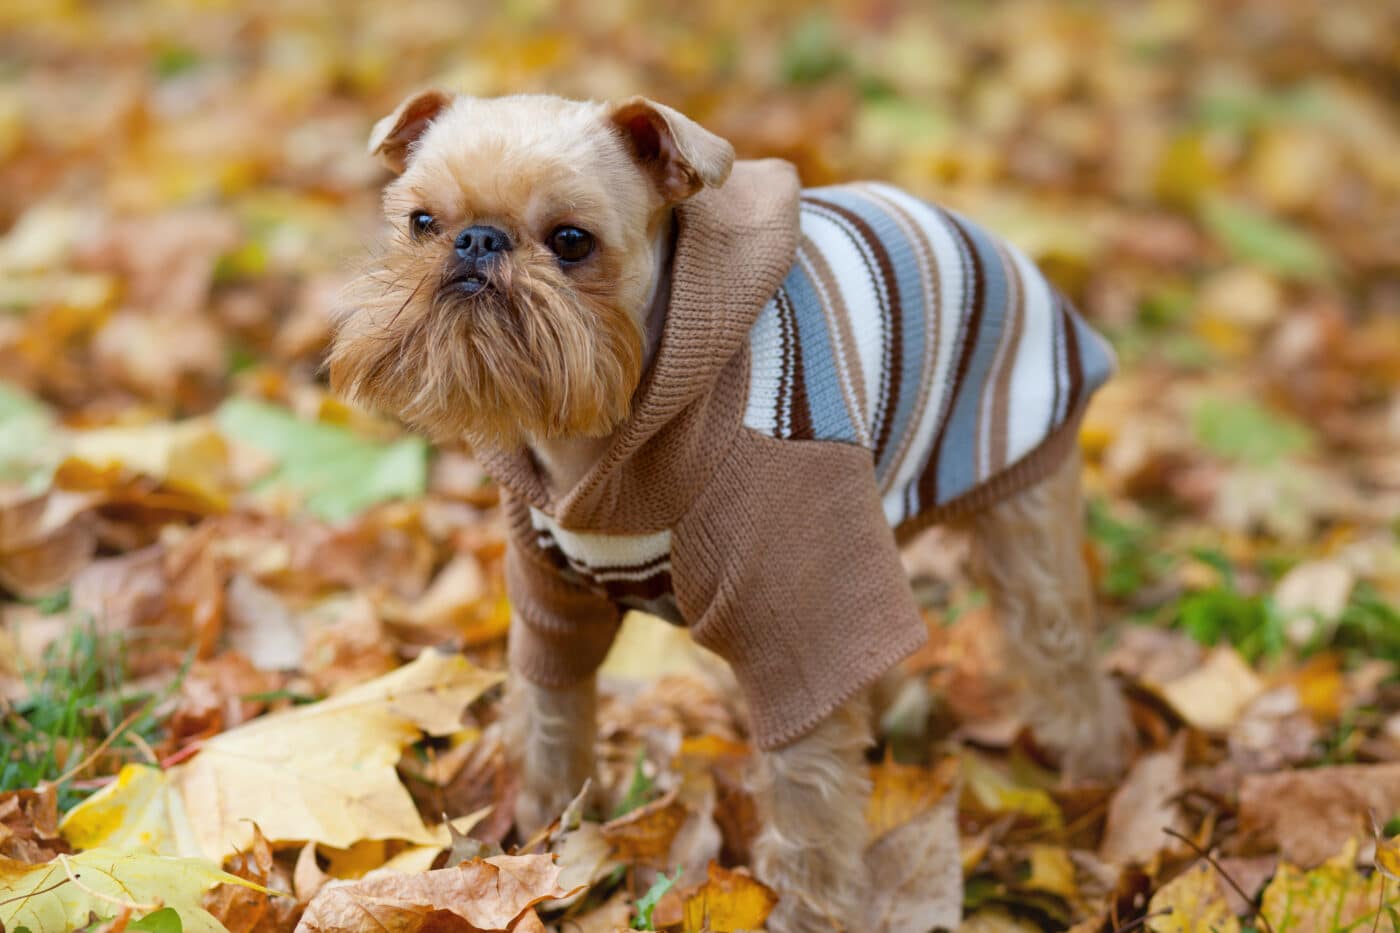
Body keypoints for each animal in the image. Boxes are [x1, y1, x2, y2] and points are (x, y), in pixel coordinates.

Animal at [330, 91, 1136, 924]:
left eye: (572, 241)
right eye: (423, 222)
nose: (477, 239)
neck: (596, 437)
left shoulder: (802, 627)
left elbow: (810, 809)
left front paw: (805, 916)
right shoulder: (551, 604)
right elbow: (552, 719)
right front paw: (541, 845)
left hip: (1023, 520)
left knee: (1060, 652)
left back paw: (1096, 776)